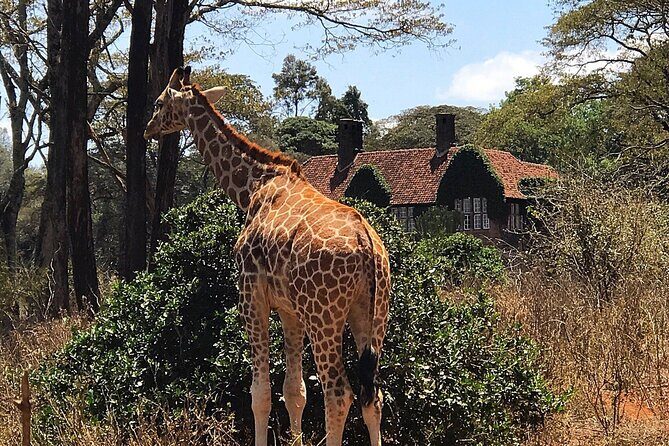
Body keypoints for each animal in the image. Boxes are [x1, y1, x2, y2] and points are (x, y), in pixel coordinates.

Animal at [144, 66, 391, 446]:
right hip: (372, 316)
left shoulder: (251, 295)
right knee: (372, 396)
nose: (147, 129)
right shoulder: (289, 310)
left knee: (338, 393)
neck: (252, 188)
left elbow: (259, 394)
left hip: (324, 317)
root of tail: (367, 247)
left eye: (158, 102)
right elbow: (294, 392)